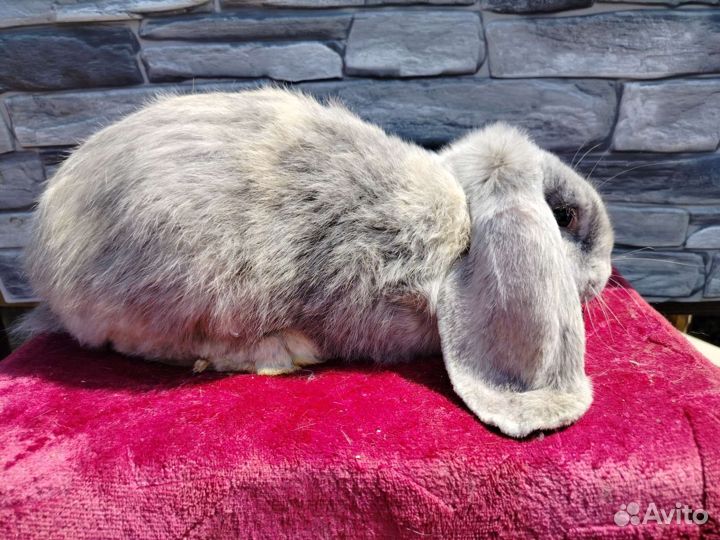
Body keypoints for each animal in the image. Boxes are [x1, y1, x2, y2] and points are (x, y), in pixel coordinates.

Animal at [21, 88, 613, 438]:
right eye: (562, 216)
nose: (607, 272)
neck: (463, 221)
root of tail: (47, 252)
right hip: (187, 285)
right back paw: (286, 350)